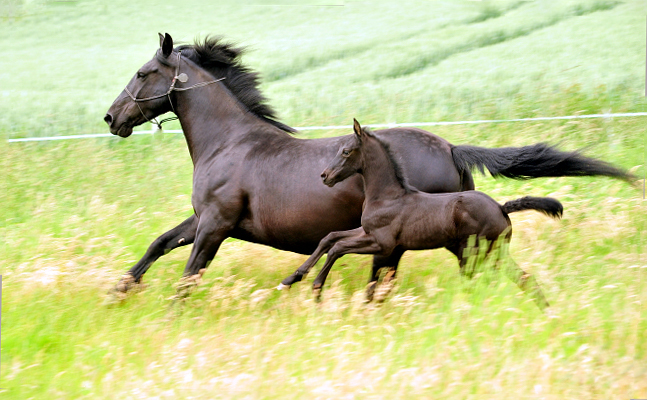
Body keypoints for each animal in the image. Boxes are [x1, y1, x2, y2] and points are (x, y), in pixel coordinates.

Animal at [280, 119, 564, 310]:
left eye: (346, 151)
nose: (324, 176)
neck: (388, 195)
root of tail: (501, 208)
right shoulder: (366, 232)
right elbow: (330, 238)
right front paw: (291, 278)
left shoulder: (382, 243)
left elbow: (337, 248)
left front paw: (316, 287)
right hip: (494, 253)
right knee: (524, 278)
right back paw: (548, 313)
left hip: (474, 254)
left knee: (481, 283)